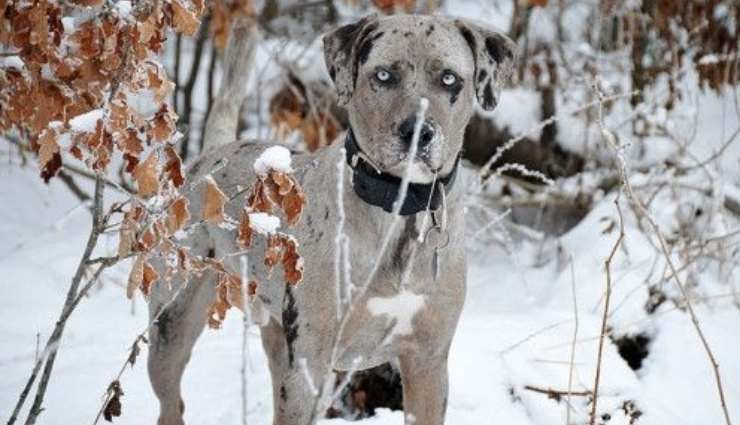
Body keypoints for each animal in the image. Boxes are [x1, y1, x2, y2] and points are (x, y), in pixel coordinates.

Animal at [146, 13, 516, 424]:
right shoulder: (310, 366)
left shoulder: (428, 364)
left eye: (450, 78)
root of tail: (212, 155)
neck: (398, 209)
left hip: (279, 342)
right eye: (383, 75)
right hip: (173, 321)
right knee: (170, 397)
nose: (417, 132)